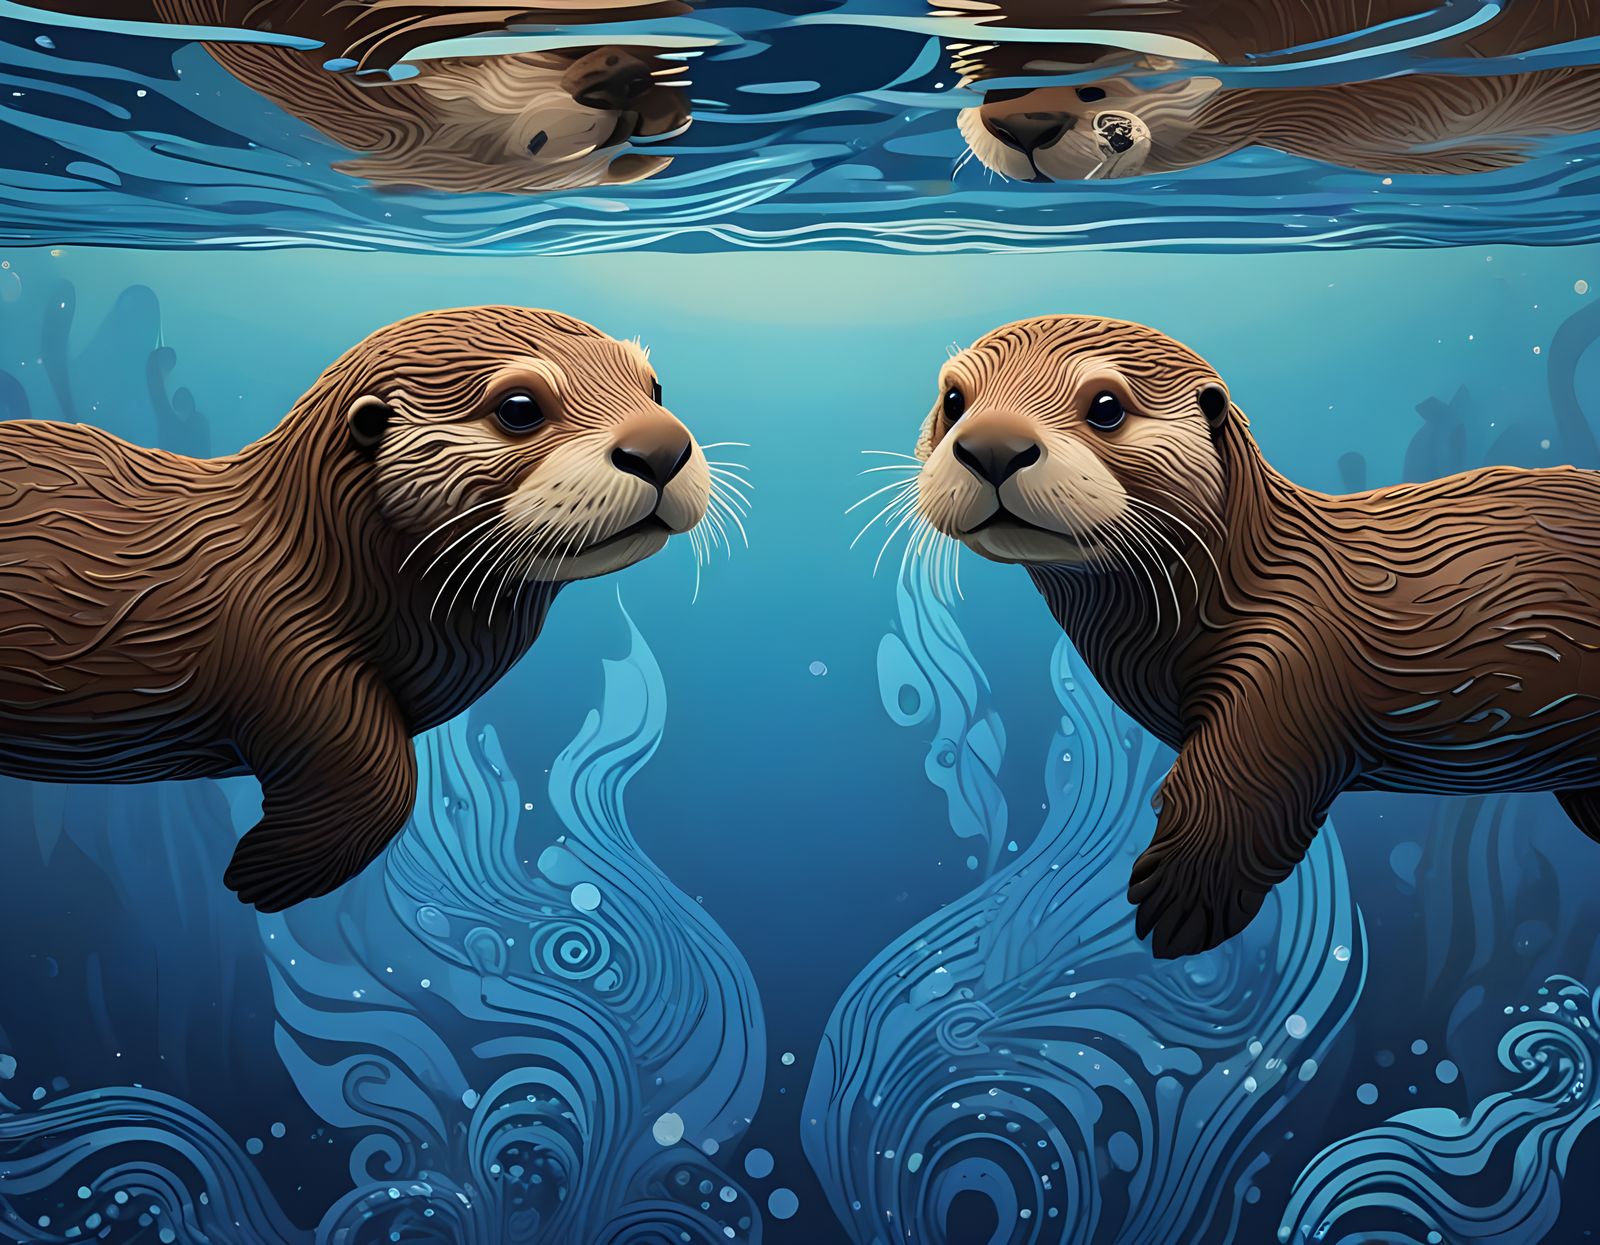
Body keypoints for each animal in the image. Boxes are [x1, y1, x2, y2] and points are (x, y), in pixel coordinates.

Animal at [0, 306, 711, 911]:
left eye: (657, 389)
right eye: (519, 408)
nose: (661, 448)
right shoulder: (279, 645)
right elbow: (382, 779)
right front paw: (263, 875)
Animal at [911, 315, 1600, 957]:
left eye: (1106, 407)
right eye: (954, 400)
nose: (993, 447)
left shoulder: (1291, 664)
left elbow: (1238, 783)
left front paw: (1187, 895)